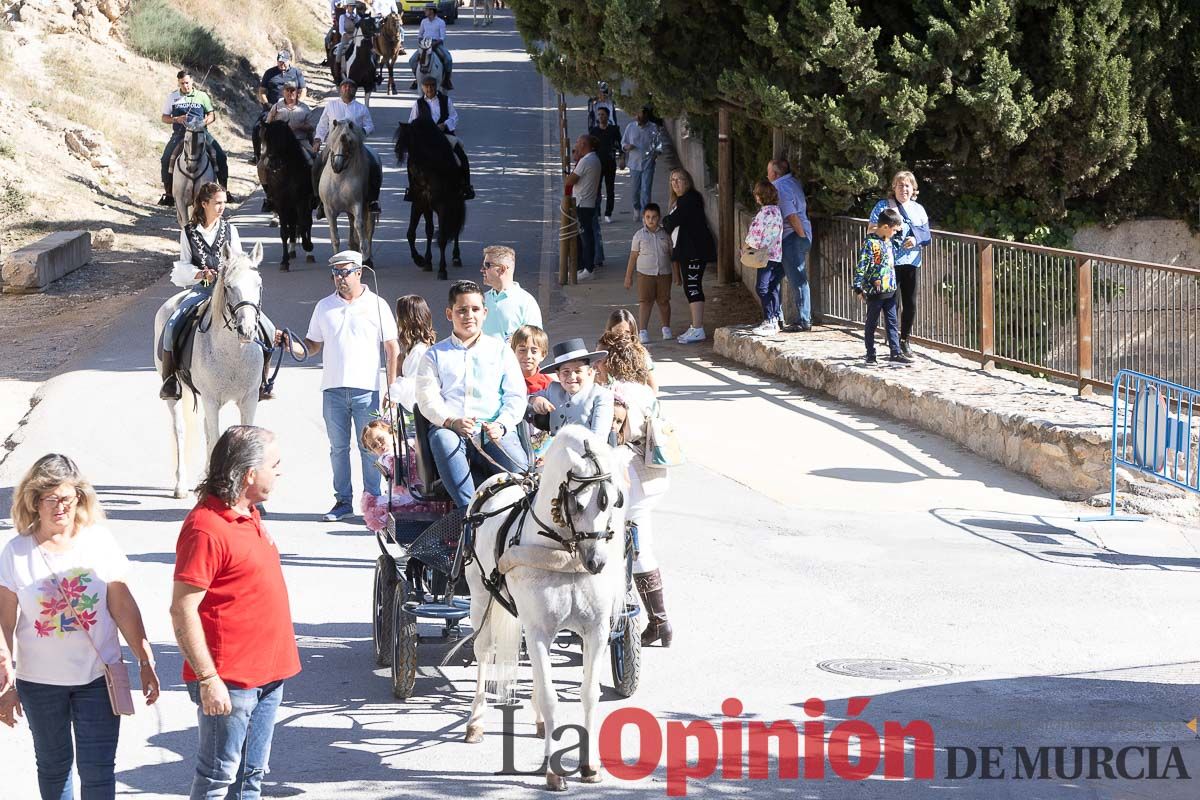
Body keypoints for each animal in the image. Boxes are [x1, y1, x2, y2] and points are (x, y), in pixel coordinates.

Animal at [152, 241, 267, 496]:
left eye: (258, 285)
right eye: (229, 286)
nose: (247, 330)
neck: (234, 353)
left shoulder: (249, 399)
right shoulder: (211, 399)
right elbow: (215, 440)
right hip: (177, 394)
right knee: (180, 430)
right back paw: (181, 486)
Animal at [460, 429, 624, 791]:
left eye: (611, 500)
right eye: (578, 503)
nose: (597, 562)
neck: (562, 552)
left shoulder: (596, 631)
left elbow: (588, 693)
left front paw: (589, 765)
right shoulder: (539, 630)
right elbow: (551, 696)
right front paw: (552, 770)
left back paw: (536, 720)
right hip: (479, 598)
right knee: (484, 651)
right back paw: (476, 721)